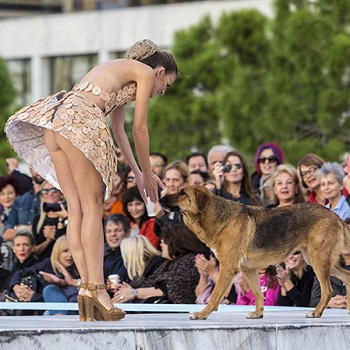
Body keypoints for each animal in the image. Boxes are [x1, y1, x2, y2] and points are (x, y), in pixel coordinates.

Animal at [160, 186, 350, 320]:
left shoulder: (227, 269)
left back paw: (316, 312)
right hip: (318, 260)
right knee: (347, 276)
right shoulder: (248, 269)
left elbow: (214, 296)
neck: (216, 216)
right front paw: (258, 314)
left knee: (328, 290)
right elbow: (258, 294)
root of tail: (335, 216)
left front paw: (202, 314)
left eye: (182, 193)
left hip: (318, 260)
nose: (160, 199)